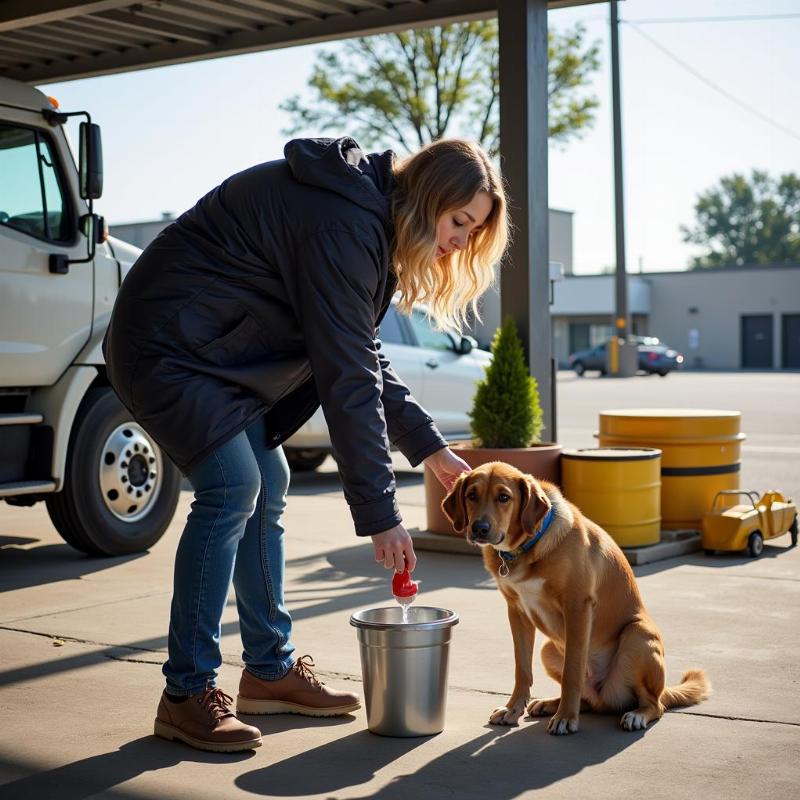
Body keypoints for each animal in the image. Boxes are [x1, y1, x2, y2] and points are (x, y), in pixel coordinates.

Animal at [440, 460, 708, 736]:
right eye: (472, 495)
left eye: (504, 497)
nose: (479, 528)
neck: (527, 547)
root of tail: (605, 696)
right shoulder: (516, 612)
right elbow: (522, 669)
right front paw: (513, 709)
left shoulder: (577, 607)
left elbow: (573, 671)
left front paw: (566, 717)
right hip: (548, 649)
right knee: (588, 700)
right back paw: (549, 703)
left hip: (637, 636)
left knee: (655, 704)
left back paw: (636, 715)